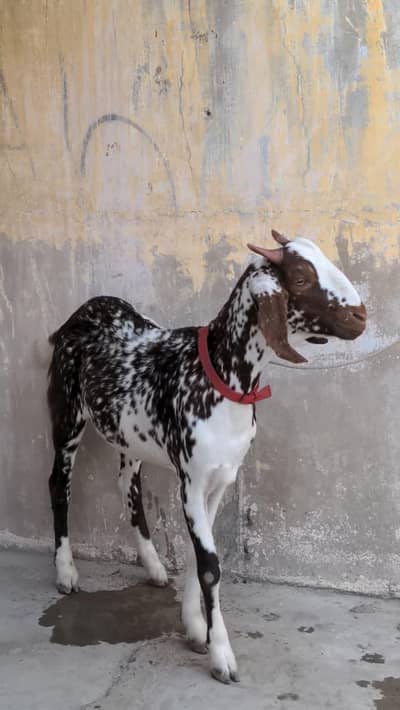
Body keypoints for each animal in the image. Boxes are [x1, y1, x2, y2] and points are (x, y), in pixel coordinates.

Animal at [46, 230, 366, 683]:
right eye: (301, 277)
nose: (360, 316)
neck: (219, 375)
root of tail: (82, 312)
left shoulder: (220, 479)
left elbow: (200, 558)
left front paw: (195, 627)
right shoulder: (192, 479)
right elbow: (211, 565)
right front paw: (221, 656)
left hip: (129, 436)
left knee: (128, 485)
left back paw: (153, 566)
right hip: (68, 413)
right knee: (60, 484)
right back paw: (66, 571)